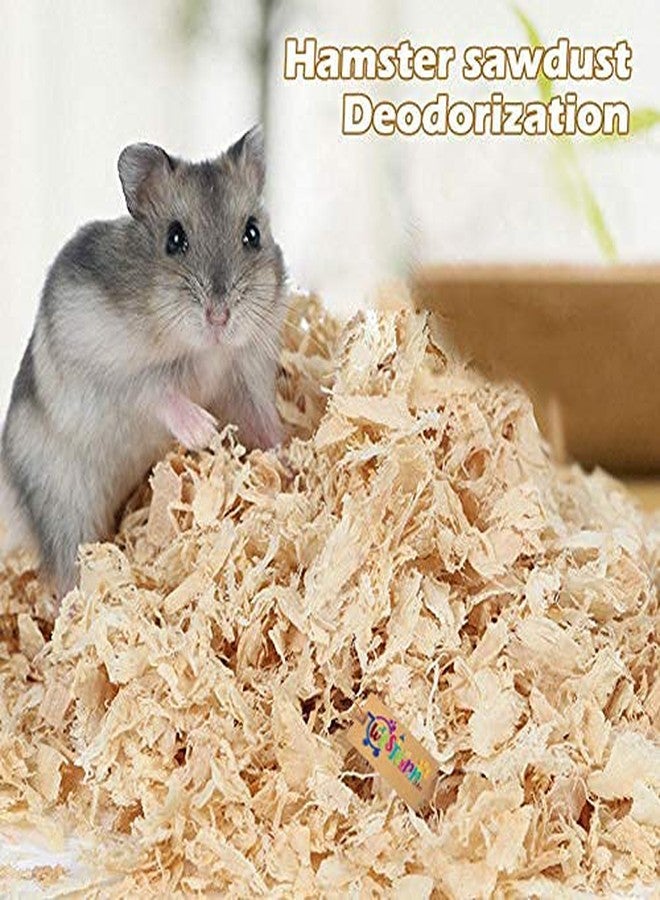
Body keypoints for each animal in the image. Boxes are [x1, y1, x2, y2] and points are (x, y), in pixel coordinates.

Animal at [0, 125, 286, 596]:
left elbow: (265, 423)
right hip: (62, 502)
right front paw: (203, 431)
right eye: (175, 239)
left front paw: (289, 461)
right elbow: (158, 393)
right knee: (64, 572)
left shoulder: (245, 378)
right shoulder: (107, 371)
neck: (204, 350)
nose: (219, 317)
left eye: (252, 234)